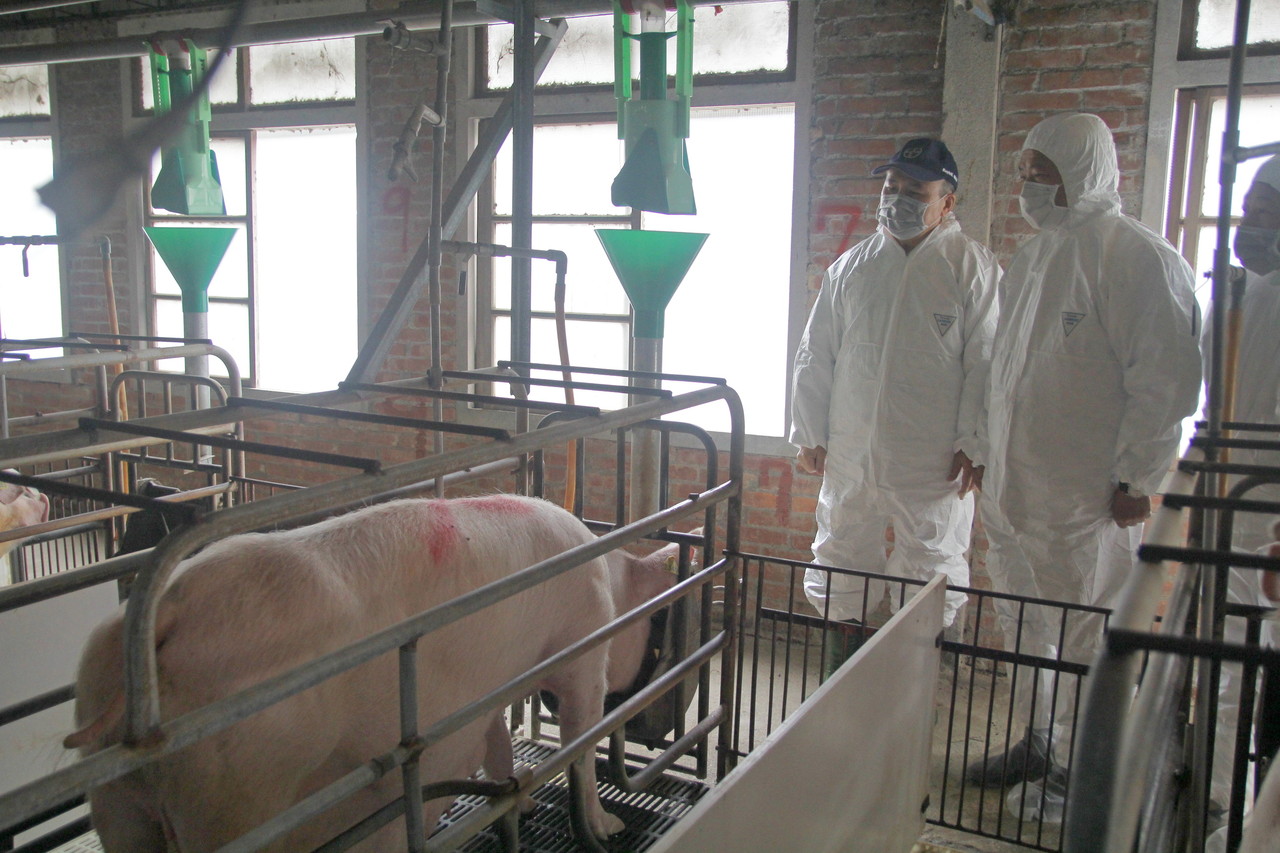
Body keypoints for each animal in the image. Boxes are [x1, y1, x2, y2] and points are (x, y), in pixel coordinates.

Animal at [64, 494, 681, 852]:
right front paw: (608, 829)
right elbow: (581, 741)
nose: (655, 726)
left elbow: (498, 742)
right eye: (656, 630)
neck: (607, 576)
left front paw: (522, 800)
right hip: (234, 790)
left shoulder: (486, 691)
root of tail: (167, 611)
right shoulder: (582, 649)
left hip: (116, 795)